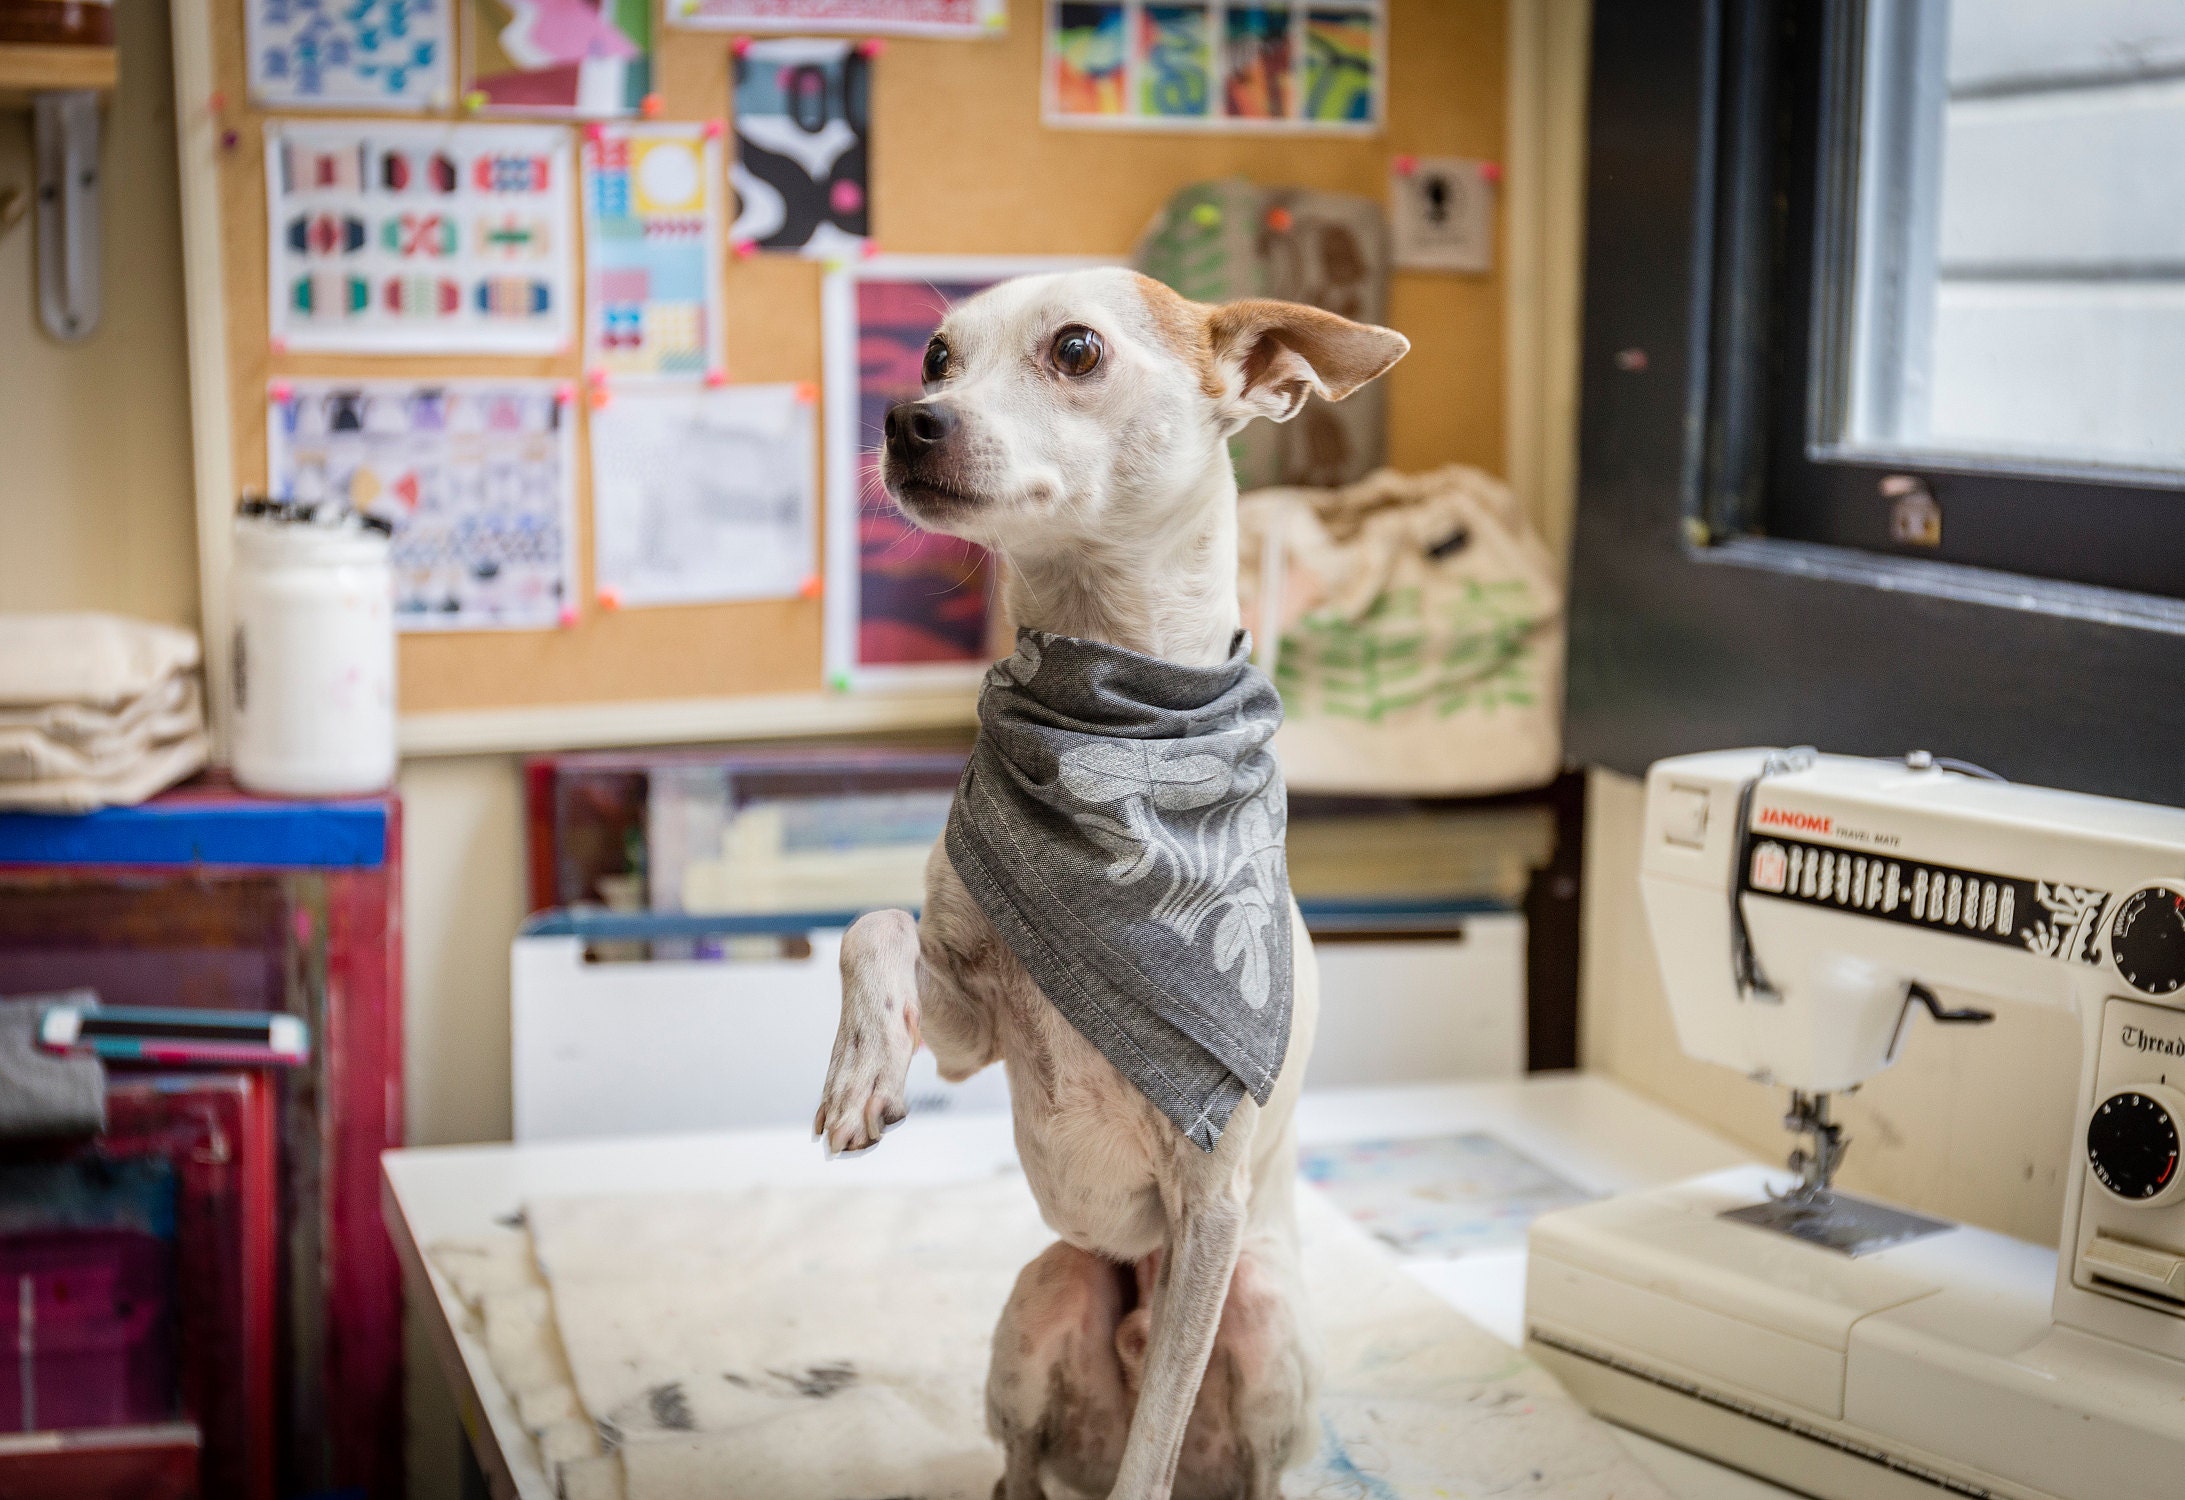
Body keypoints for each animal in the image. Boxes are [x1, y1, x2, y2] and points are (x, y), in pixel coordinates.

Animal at [812, 270, 1407, 1500]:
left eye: (1077, 350)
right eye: (936, 354)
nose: (903, 419)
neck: (1112, 727)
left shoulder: (1209, 1207)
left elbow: (1152, 1454)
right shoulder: (972, 1026)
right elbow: (875, 926)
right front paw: (861, 1071)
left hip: (1257, 1307)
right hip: (1049, 1284)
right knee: (1018, 1467)